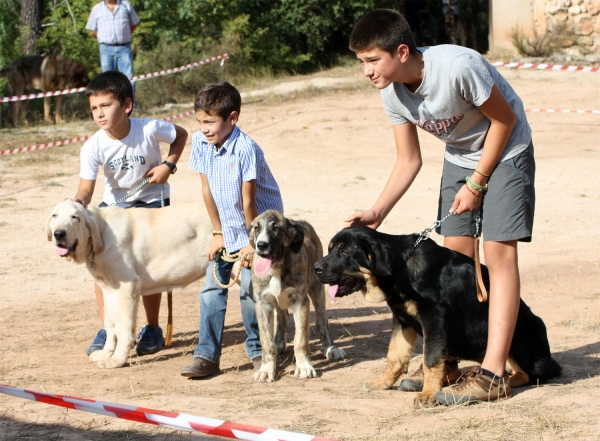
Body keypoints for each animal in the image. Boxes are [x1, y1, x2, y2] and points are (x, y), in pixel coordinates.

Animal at [47, 199, 212, 368]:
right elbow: (110, 324)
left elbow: (122, 326)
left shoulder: (126, 287)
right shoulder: (109, 290)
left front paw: (117, 359)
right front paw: (106, 353)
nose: (59, 234)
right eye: (55, 216)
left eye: (75, 217)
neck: (102, 233)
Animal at [247, 210, 344, 382]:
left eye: (276, 228)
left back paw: (330, 348)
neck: (276, 268)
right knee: (282, 318)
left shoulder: (301, 302)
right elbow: (267, 341)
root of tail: (301, 221)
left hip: (317, 287)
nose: (261, 245)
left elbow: (301, 339)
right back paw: (279, 342)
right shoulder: (263, 303)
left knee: (322, 321)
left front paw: (304, 367)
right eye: (256, 228)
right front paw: (266, 369)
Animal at [314, 225, 564, 408]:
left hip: (518, 339)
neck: (400, 269)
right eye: (330, 249)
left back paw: (502, 380)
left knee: (532, 374)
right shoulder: (402, 320)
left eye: (344, 252)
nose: (316, 268)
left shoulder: (434, 317)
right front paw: (382, 383)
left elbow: (431, 358)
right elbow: (395, 355)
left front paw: (428, 394)